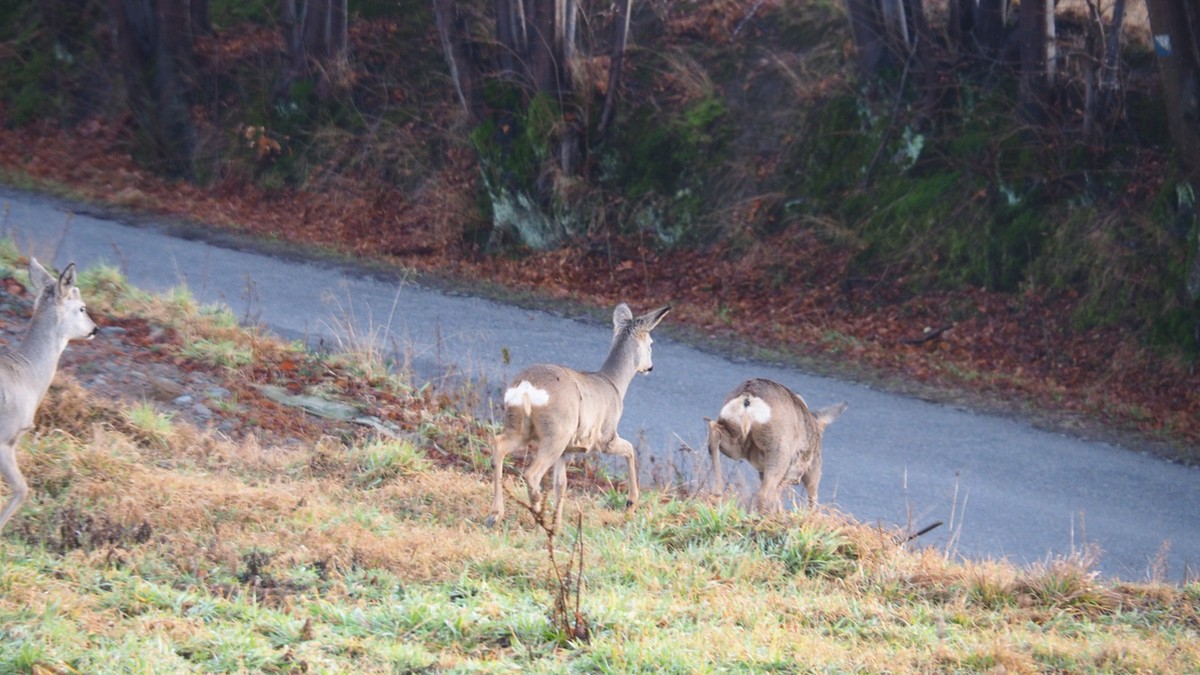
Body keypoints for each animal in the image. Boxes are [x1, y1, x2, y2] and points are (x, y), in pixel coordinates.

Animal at [489, 302, 676, 528]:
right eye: (651, 343)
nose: (650, 367)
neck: (614, 384)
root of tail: (526, 387)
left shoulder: (568, 450)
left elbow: (561, 484)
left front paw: (559, 525)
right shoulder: (605, 436)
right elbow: (630, 450)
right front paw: (631, 502)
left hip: (518, 425)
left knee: (499, 446)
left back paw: (496, 514)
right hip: (557, 432)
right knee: (532, 473)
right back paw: (538, 516)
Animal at [705, 374, 849, 511]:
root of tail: (748, 398)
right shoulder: (813, 465)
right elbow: (812, 493)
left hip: (736, 439)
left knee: (714, 430)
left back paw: (717, 492)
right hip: (779, 450)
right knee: (765, 493)